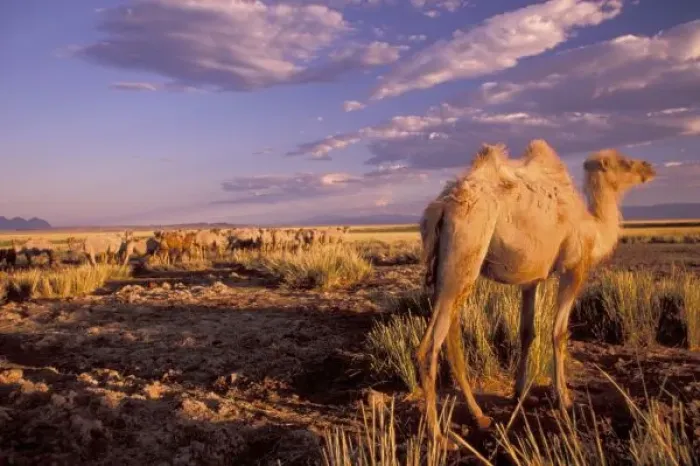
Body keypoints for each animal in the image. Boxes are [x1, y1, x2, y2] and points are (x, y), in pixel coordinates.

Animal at [417, 139, 655, 446]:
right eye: (624, 163)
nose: (648, 167)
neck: (594, 228)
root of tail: (442, 206)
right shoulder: (573, 269)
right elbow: (558, 332)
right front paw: (564, 399)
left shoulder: (532, 279)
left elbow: (527, 332)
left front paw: (520, 393)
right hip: (466, 248)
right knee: (430, 345)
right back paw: (437, 435)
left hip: (450, 267)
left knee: (450, 334)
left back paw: (479, 416)